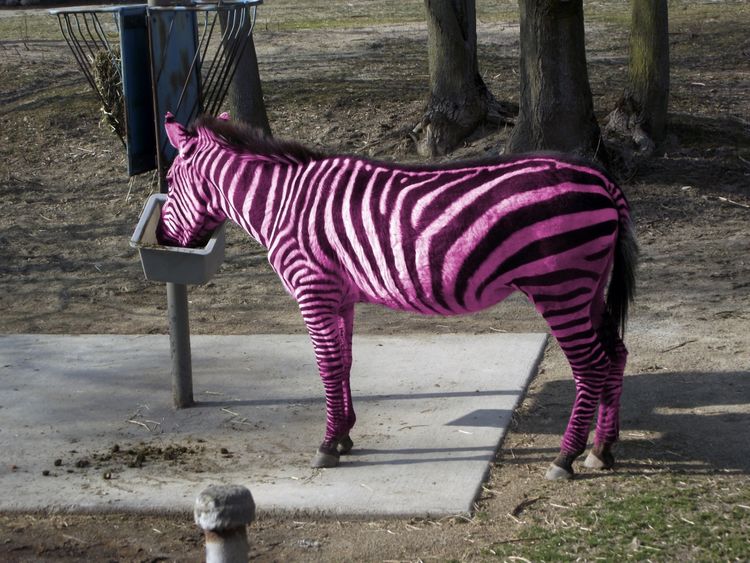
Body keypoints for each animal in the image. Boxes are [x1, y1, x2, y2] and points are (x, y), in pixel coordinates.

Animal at [159, 114, 640, 480]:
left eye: (169, 179)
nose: (162, 240)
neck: (281, 203)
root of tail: (601, 179)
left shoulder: (312, 287)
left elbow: (326, 365)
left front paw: (327, 444)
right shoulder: (340, 294)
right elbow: (344, 362)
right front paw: (345, 434)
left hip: (559, 286)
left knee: (591, 365)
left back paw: (565, 457)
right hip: (588, 286)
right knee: (615, 354)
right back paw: (602, 449)